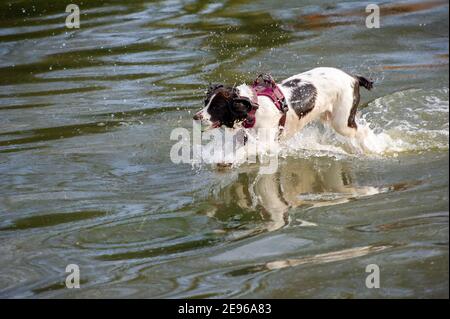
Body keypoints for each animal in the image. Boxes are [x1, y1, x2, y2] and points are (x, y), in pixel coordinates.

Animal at [193, 67, 372, 150]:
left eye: (217, 107)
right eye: (206, 102)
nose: (195, 117)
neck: (253, 109)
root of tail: (353, 77)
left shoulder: (265, 141)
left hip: (342, 122)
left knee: (362, 132)